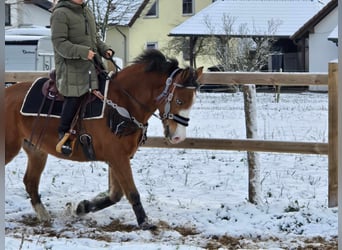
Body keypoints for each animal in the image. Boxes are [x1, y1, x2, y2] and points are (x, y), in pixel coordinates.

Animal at [5, 49, 202, 230]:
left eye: (192, 102)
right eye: (178, 101)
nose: (178, 137)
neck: (122, 104)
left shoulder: (118, 157)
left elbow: (116, 194)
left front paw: (83, 207)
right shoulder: (117, 157)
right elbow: (132, 192)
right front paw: (145, 223)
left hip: (36, 150)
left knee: (30, 182)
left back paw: (44, 215)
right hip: (8, 147)